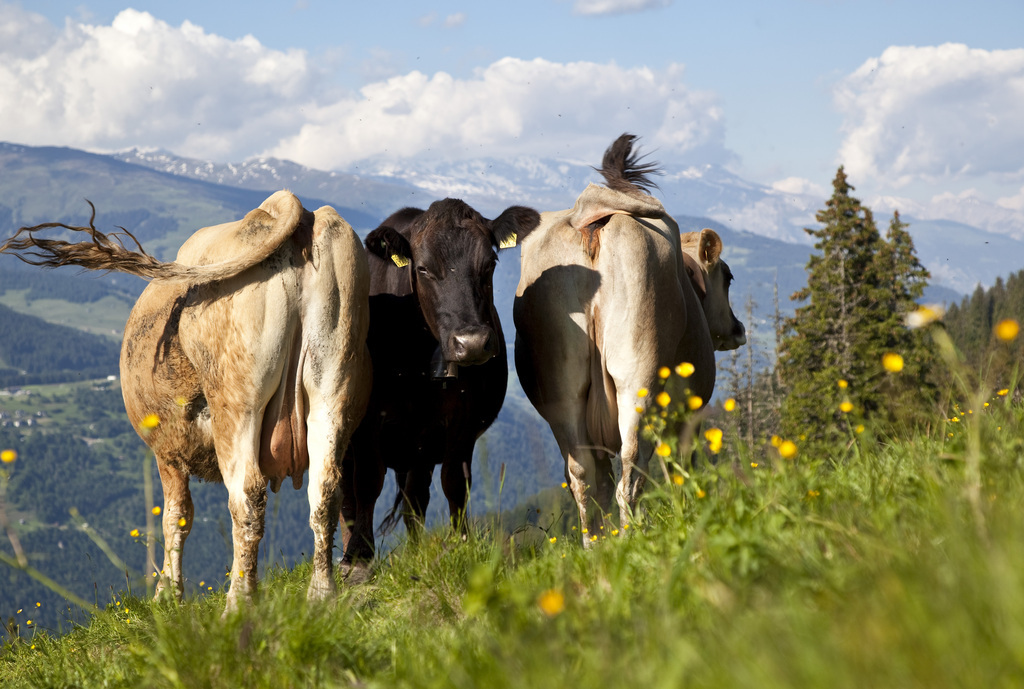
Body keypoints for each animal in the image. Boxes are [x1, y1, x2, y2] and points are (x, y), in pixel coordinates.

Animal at [2, 190, 370, 610]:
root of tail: (286, 207)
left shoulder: (167, 450)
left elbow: (175, 517)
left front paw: (166, 594)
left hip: (236, 401)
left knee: (247, 498)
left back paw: (238, 604)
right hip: (333, 383)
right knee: (325, 489)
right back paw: (321, 595)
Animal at [339, 196, 540, 573]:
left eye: (490, 263)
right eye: (422, 269)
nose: (471, 343)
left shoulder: (461, 423)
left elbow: (454, 483)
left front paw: (460, 543)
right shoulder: (365, 423)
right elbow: (367, 482)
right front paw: (358, 558)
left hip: (419, 446)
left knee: (414, 499)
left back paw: (417, 551)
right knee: (345, 498)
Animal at [512, 133, 712, 532]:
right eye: (727, 277)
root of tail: (587, 216)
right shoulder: (686, 418)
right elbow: (678, 473)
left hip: (563, 391)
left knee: (585, 479)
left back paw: (598, 543)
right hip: (636, 376)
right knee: (630, 475)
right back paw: (632, 536)